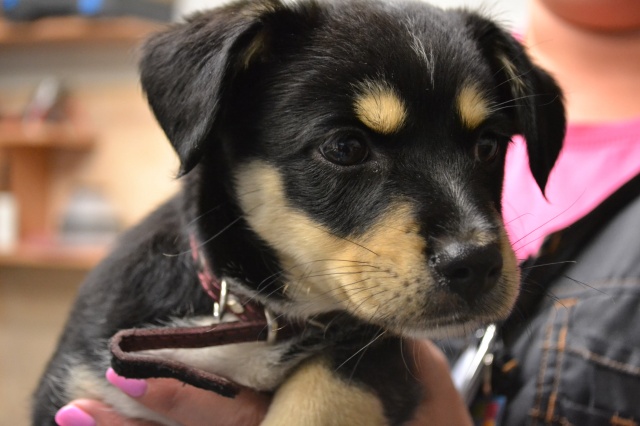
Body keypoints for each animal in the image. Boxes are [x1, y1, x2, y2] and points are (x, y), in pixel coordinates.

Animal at [32, 0, 565, 424]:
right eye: (345, 147)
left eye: (488, 146)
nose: (474, 264)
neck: (262, 316)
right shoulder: (83, 383)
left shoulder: (380, 354)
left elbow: (326, 388)